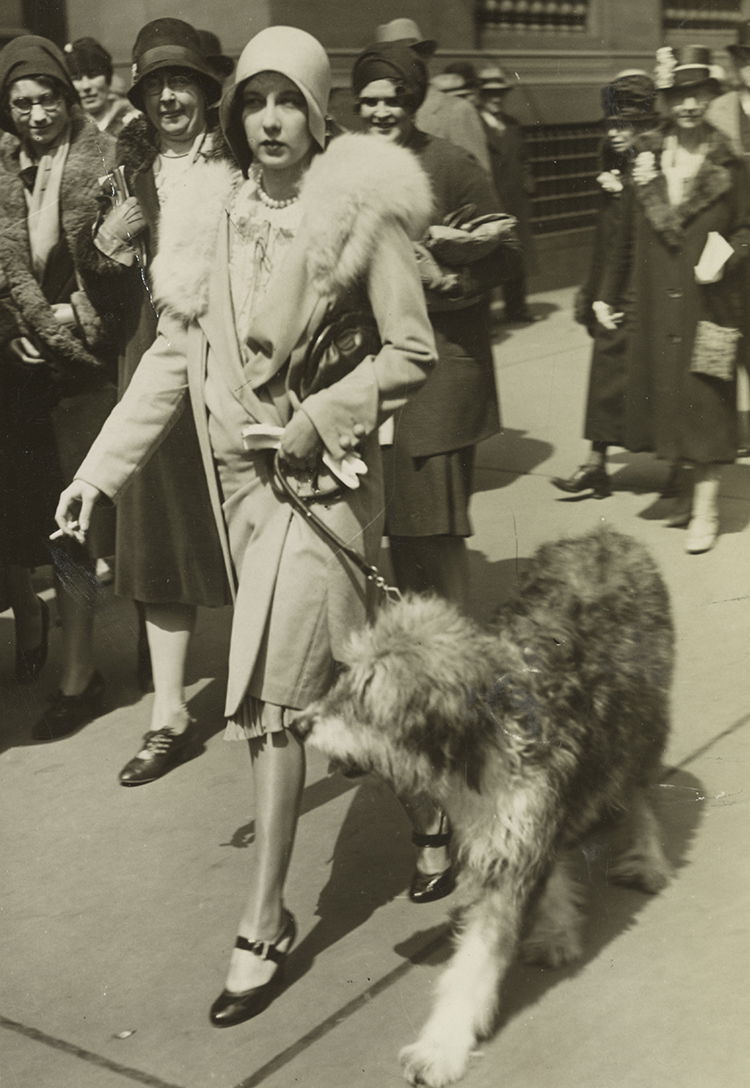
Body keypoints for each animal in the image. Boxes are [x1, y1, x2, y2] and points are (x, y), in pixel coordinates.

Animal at [293, 524, 674, 1079]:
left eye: (365, 696)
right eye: (343, 677)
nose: (298, 726)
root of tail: (606, 534)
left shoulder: (519, 827)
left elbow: (473, 961)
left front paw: (440, 1046)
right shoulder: (513, 825)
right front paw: (555, 924)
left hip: (642, 715)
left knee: (639, 784)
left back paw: (646, 854)